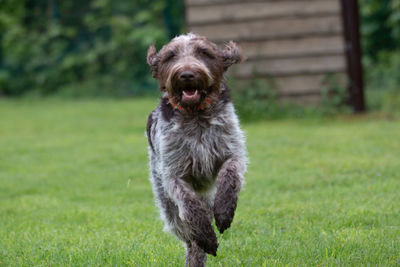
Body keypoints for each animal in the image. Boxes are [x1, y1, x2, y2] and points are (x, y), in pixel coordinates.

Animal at [146, 33, 247, 267]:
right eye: (171, 56)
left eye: (204, 52)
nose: (186, 74)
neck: (196, 116)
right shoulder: (172, 173)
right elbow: (189, 205)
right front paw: (205, 236)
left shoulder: (232, 152)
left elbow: (230, 176)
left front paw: (224, 212)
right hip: (168, 205)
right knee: (188, 234)